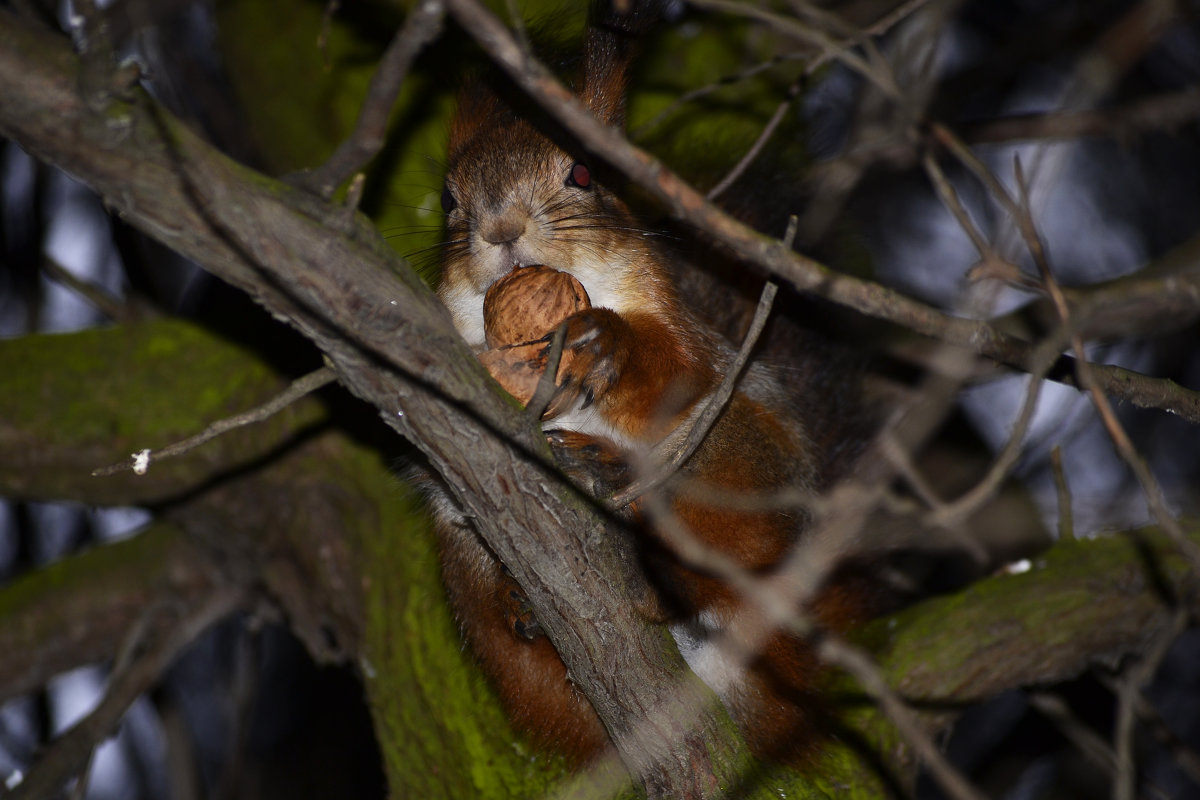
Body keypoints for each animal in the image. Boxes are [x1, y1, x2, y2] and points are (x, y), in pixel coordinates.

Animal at [427, 0, 878, 762]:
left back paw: (623, 492)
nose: (501, 228)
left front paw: (609, 347)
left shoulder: (697, 346)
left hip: (744, 460)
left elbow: (674, 367)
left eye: (583, 175)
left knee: (729, 548)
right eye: (448, 200)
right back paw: (526, 603)